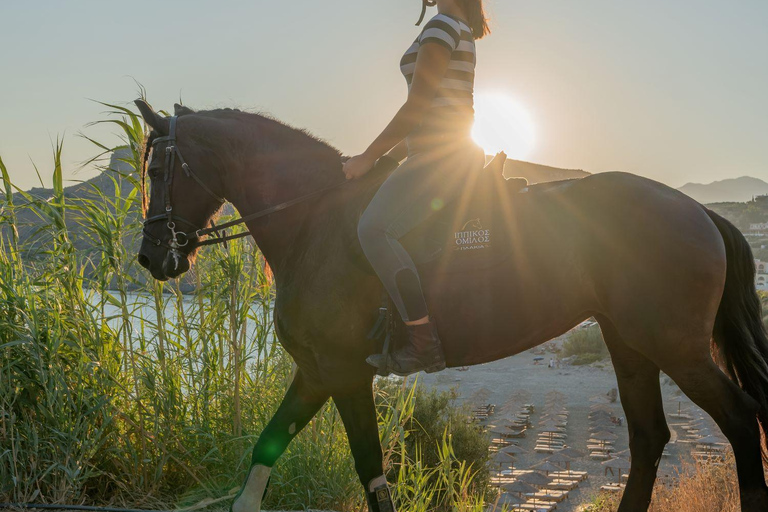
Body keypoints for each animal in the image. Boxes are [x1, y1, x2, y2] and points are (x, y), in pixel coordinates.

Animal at [134, 101, 768, 512]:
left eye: (158, 169)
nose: (150, 256)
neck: (314, 219)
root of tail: (697, 211)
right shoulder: (316, 372)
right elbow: (264, 455)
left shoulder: (343, 372)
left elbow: (371, 472)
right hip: (629, 340)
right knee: (648, 437)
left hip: (675, 346)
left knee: (739, 419)